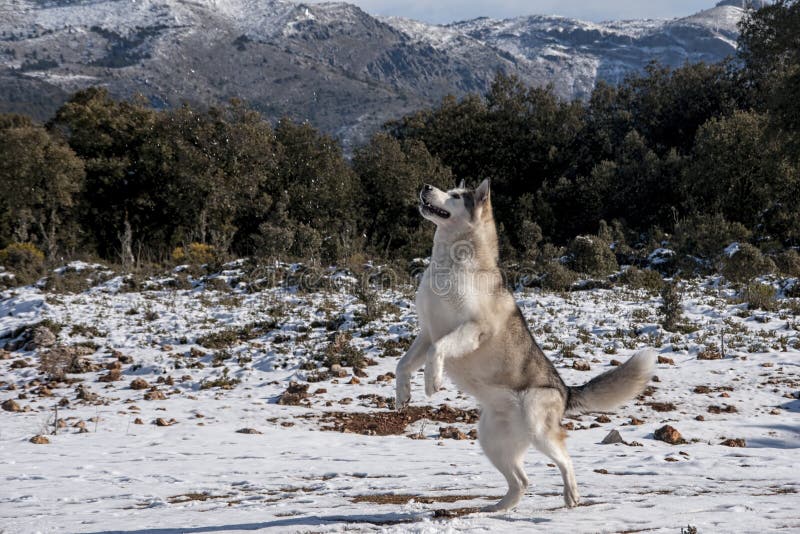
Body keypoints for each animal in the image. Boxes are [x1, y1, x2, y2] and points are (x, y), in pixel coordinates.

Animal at [396, 181, 656, 516]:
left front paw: (432, 381)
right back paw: (498, 508)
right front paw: (402, 394)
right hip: (491, 440)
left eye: (455, 195)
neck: (449, 264)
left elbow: (437, 351)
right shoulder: (427, 333)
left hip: (537, 428)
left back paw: (571, 494)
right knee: (522, 481)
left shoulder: (473, 329)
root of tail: (565, 390)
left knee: (565, 458)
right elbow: (403, 364)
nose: (427, 187)